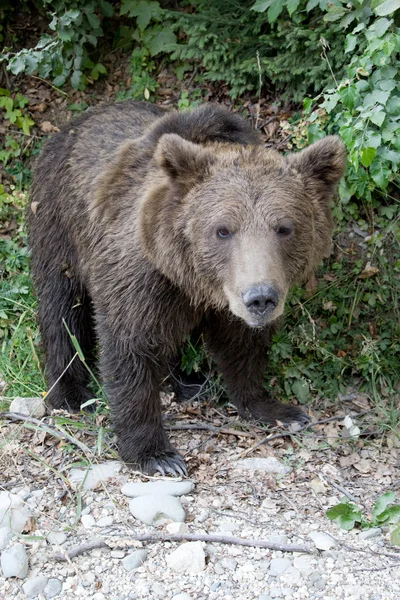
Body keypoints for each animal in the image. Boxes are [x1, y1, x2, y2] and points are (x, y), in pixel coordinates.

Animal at [28, 101, 346, 476]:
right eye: (223, 229)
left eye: (284, 228)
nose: (260, 298)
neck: (197, 283)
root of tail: (74, 122)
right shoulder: (140, 278)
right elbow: (129, 347)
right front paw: (156, 454)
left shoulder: (220, 301)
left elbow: (243, 347)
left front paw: (275, 408)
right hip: (59, 223)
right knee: (62, 308)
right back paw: (70, 394)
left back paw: (187, 383)